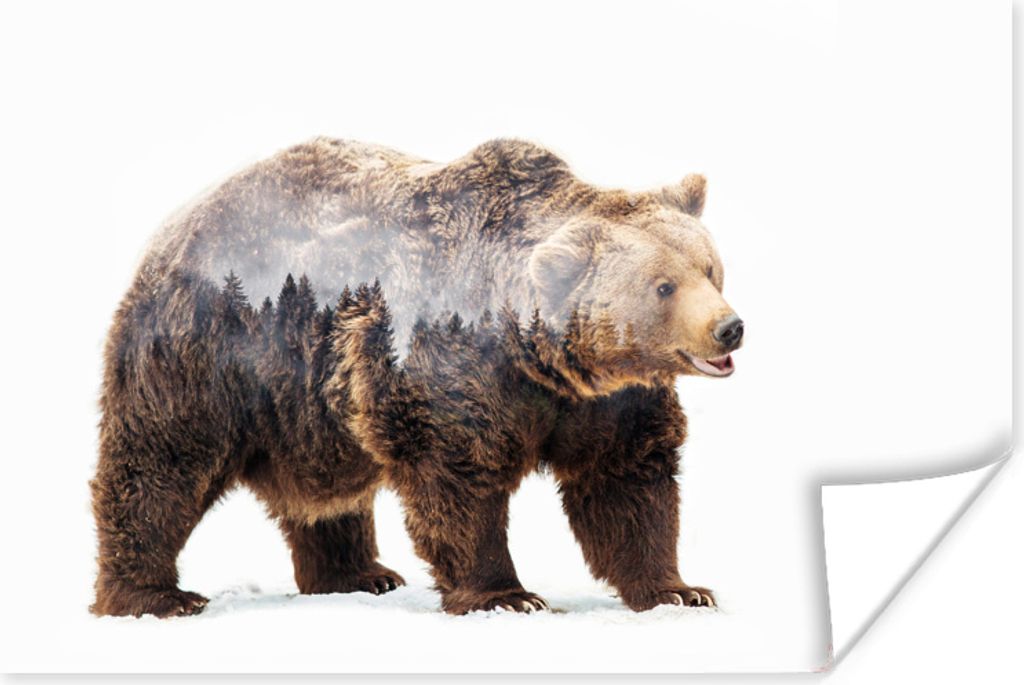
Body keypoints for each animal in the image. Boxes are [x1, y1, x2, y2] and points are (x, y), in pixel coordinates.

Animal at [90, 138, 743, 617]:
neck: (542, 358)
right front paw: (507, 596)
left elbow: (626, 483)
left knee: (326, 495)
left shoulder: (607, 402)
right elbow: (458, 477)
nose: (729, 328)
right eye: (663, 286)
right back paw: (154, 595)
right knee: (162, 462)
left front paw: (679, 589)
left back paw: (358, 574)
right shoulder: (450, 364)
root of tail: (174, 225)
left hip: (308, 403)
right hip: (210, 350)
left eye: (710, 268)